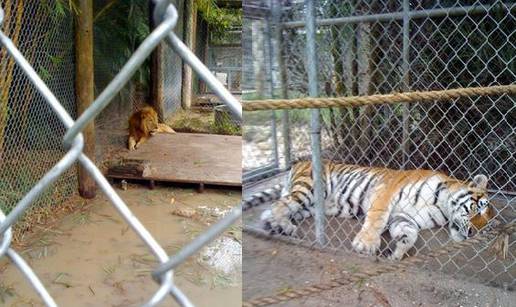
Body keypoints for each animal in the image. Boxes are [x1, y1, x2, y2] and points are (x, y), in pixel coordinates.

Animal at [246, 161, 496, 260]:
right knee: (280, 204)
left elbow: (409, 234)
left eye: (487, 225)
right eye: (477, 208)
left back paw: (277, 225)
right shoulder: (386, 192)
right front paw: (366, 244)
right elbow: (377, 218)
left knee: (275, 208)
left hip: (308, 207)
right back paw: (282, 225)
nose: (473, 232)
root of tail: (298, 163)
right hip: (309, 189)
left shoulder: (405, 216)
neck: (441, 206)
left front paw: (396, 253)